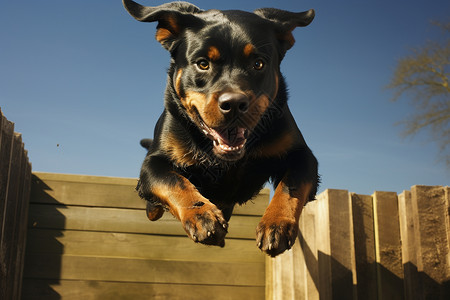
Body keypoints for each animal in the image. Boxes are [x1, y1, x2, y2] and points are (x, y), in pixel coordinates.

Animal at [124, 0, 320, 258]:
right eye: (203, 64)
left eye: (258, 63)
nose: (234, 103)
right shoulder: (153, 163)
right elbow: (173, 181)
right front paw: (201, 215)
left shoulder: (302, 154)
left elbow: (292, 184)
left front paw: (276, 222)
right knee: (153, 207)